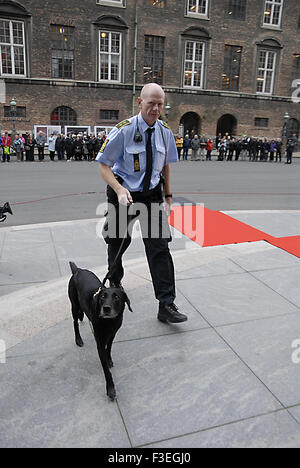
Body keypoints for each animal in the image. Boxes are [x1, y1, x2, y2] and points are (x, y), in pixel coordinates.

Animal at [69, 262, 133, 400]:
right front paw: (110, 389)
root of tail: (78, 270)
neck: (109, 322)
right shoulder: (99, 342)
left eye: (116, 297)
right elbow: (106, 370)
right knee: (75, 322)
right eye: (103, 297)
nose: (106, 308)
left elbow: (109, 348)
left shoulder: (112, 334)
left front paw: (109, 360)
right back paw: (78, 339)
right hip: (74, 304)